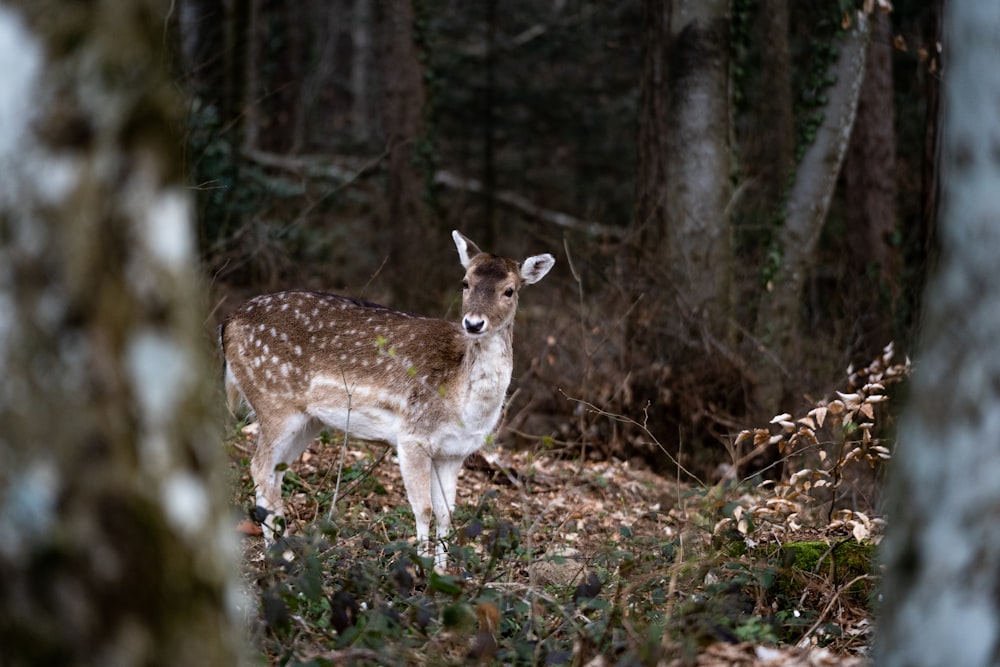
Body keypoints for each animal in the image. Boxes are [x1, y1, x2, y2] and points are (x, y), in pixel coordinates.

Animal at [220, 232, 560, 572]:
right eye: (465, 282)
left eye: (510, 290)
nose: (473, 323)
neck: (464, 405)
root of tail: (227, 324)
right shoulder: (412, 437)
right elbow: (423, 509)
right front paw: (422, 570)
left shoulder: (454, 453)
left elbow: (446, 513)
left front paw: (442, 572)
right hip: (274, 402)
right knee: (259, 467)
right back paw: (283, 556)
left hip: (308, 421)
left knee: (275, 472)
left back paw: (284, 551)